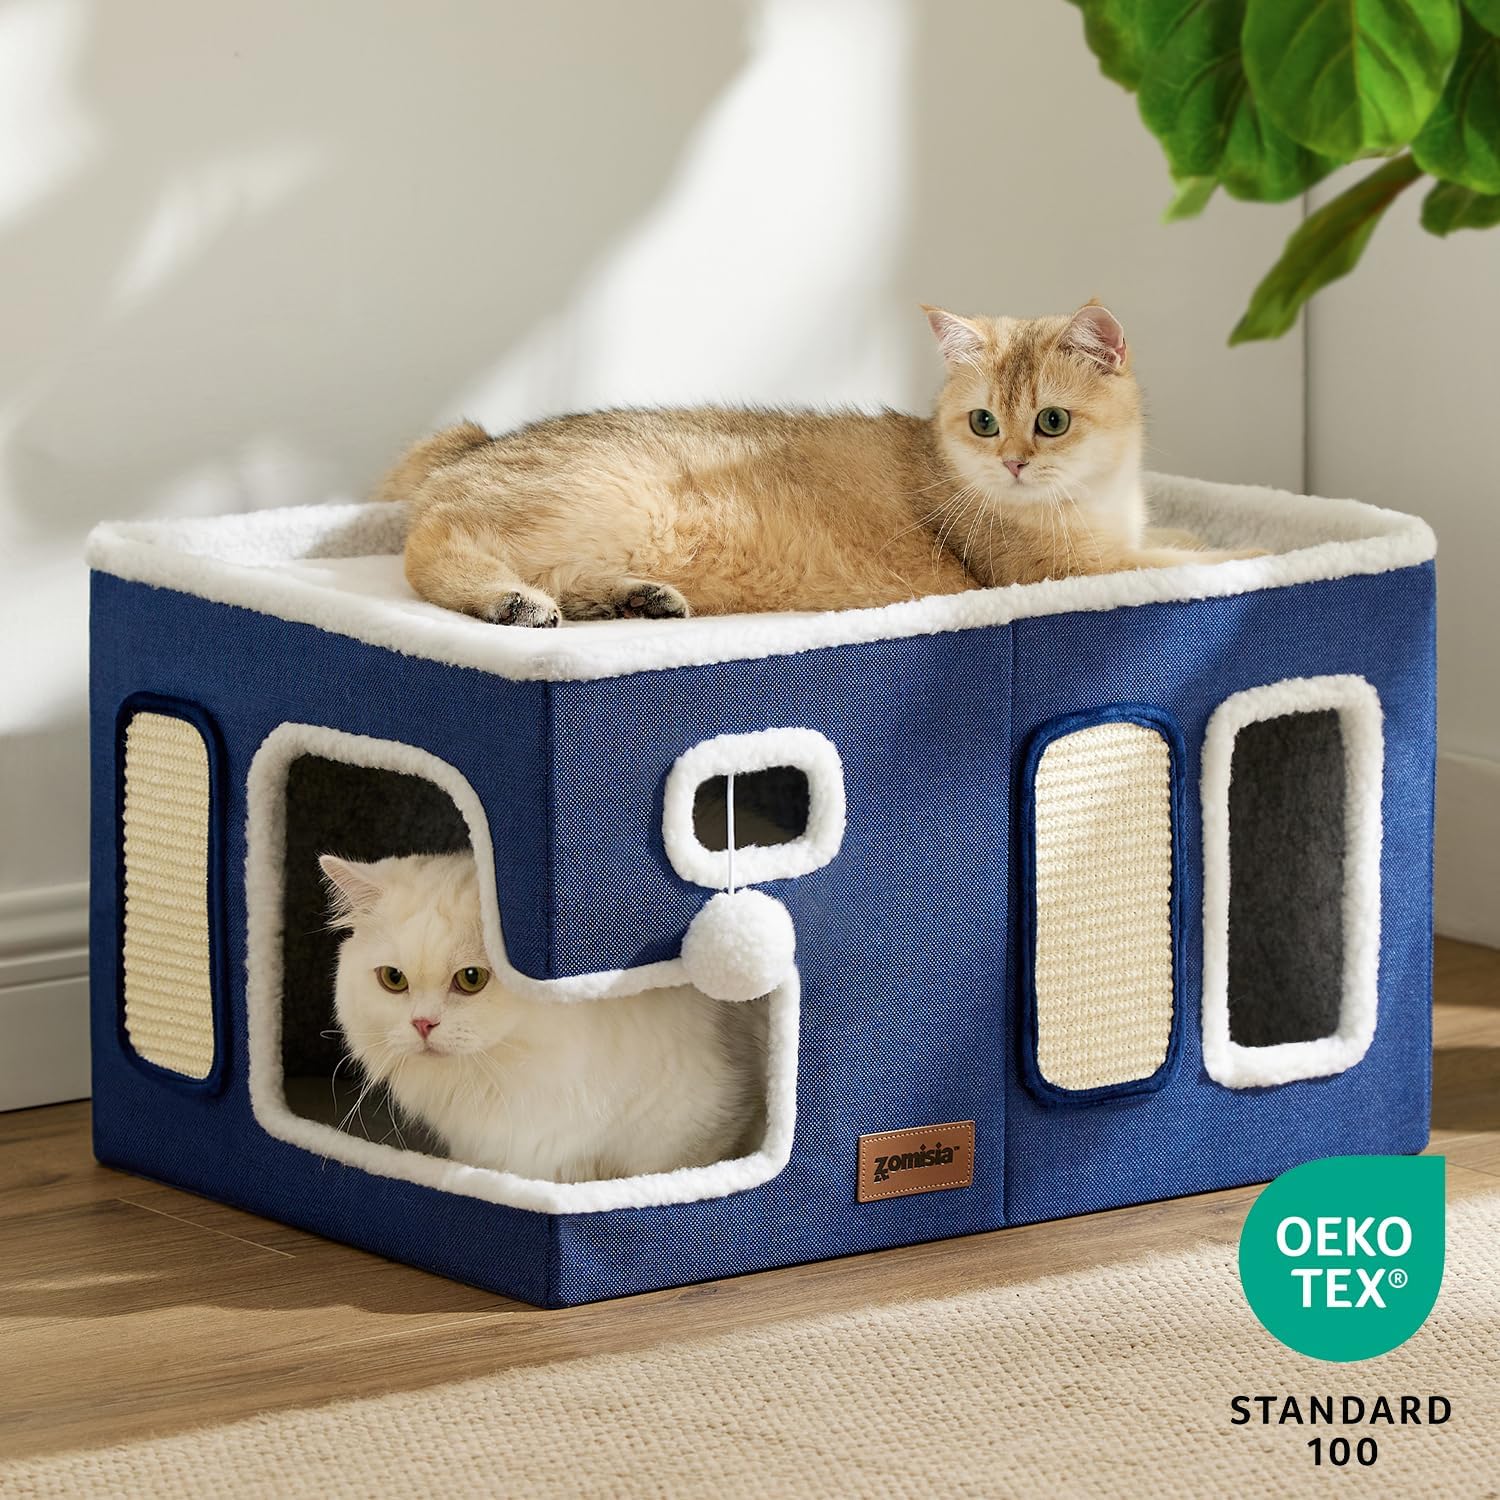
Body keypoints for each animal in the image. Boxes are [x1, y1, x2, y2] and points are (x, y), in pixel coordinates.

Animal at [376, 301, 1251, 627]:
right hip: (598, 502)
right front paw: (1255, 550)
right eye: (984, 422)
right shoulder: (1071, 569)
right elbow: (1192, 559)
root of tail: (475, 443)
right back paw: (509, 601)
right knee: (432, 552)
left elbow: (1178, 540)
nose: (1011, 463)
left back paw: (635, 599)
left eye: (1052, 422)